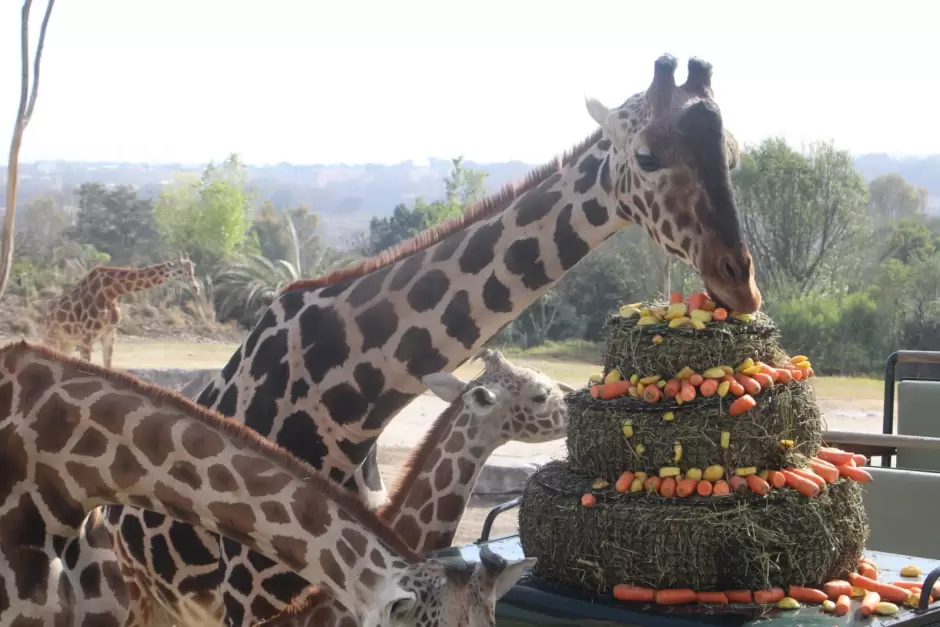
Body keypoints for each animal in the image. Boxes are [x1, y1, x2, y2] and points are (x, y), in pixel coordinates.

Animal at [41, 254, 202, 368]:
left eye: (193, 271)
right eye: (179, 271)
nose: (195, 288)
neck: (111, 292)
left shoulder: (110, 335)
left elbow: (108, 366)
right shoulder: (87, 338)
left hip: (67, 342)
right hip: (52, 337)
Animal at [86, 54, 764, 627]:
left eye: (732, 152)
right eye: (646, 156)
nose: (740, 280)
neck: (353, 399)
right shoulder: (252, 598)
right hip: (127, 591)